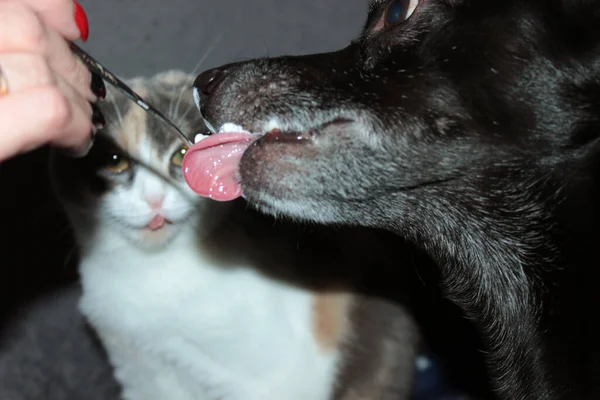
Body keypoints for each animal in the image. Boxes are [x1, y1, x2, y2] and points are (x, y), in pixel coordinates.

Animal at [49, 70, 420, 398]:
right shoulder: (140, 374)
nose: (154, 199)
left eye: (181, 155)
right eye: (114, 160)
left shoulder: (279, 376)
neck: (153, 272)